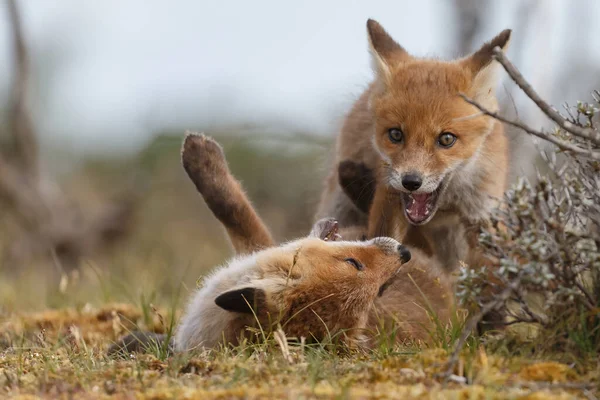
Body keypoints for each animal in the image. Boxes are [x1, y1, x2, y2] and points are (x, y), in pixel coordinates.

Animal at [316, 18, 508, 272]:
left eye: (446, 139)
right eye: (396, 134)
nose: (411, 182)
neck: (447, 202)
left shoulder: (483, 210)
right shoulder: (389, 198)